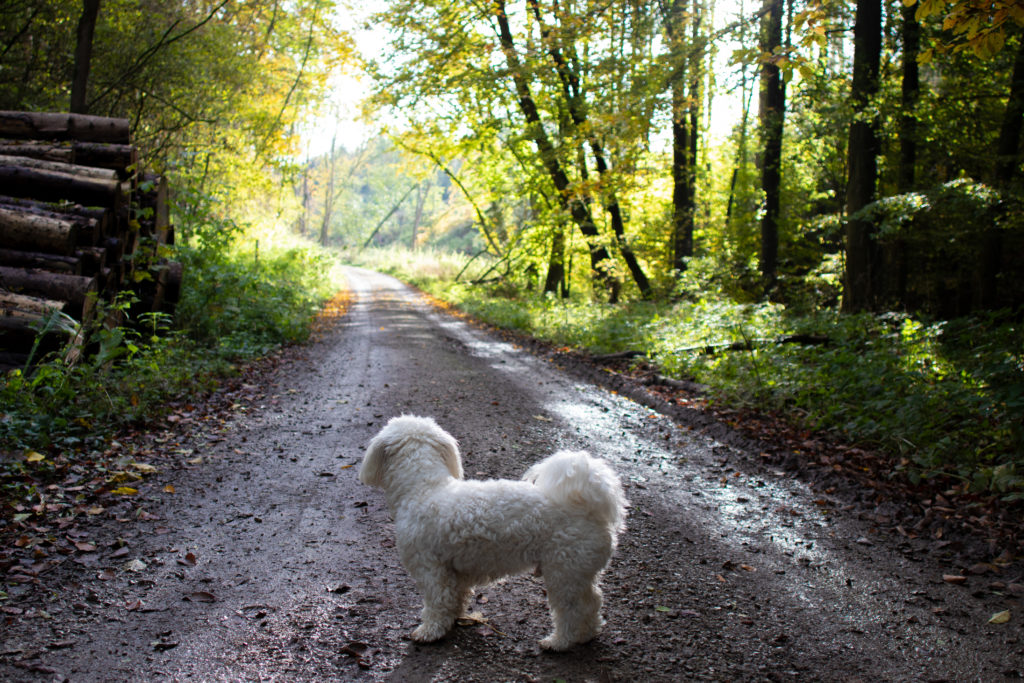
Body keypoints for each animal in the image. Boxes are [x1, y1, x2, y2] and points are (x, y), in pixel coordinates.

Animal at [360, 413, 622, 651]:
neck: (423, 489)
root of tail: (590, 508)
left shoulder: (431, 569)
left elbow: (437, 602)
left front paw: (429, 632)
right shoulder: (455, 571)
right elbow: (456, 598)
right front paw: (453, 619)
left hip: (563, 572)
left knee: (571, 610)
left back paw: (558, 642)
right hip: (577, 573)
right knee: (592, 603)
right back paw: (587, 635)